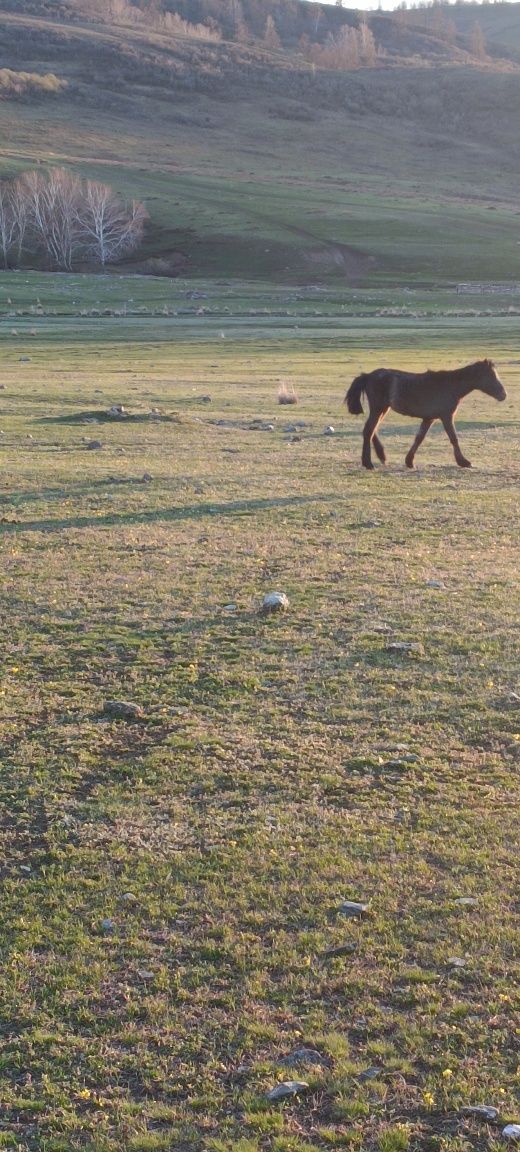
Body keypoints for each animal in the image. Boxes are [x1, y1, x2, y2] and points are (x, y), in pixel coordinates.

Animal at [345, 359, 509, 467]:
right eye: (491, 376)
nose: (503, 395)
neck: (450, 385)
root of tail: (368, 375)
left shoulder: (429, 418)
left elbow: (419, 438)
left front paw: (409, 461)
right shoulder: (446, 416)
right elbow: (454, 438)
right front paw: (463, 461)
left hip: (383, 409)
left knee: (373, 429)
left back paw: (381, 456)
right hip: (378, 408)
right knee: (369, 430)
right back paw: (368, 463)